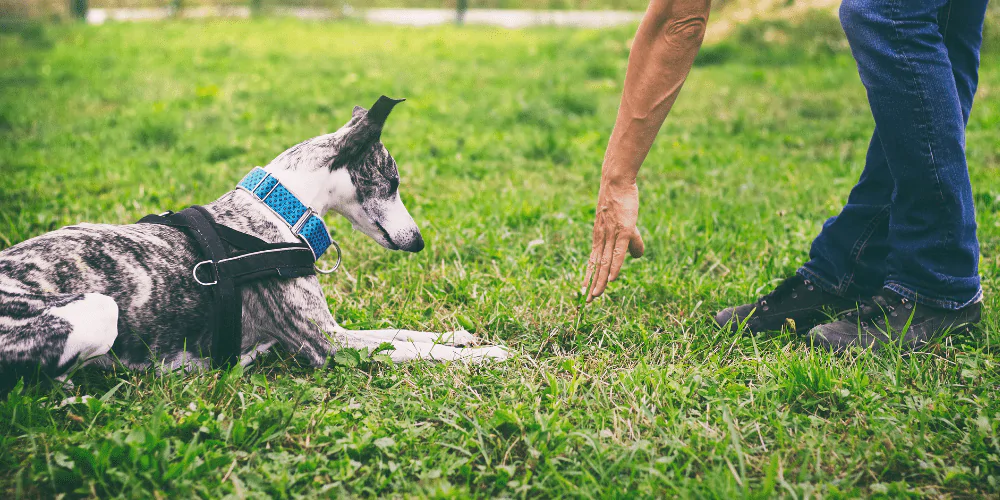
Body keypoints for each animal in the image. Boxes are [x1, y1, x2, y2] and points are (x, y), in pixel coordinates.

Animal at [0, 97, 512, 386]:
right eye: (394, 181)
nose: (419, 242)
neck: (278, 210)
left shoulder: (336, 330)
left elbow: (401, 332)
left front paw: (462, 336)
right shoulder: (328, 344)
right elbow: (414, 350)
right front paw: (487, 356)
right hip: (96, 309)